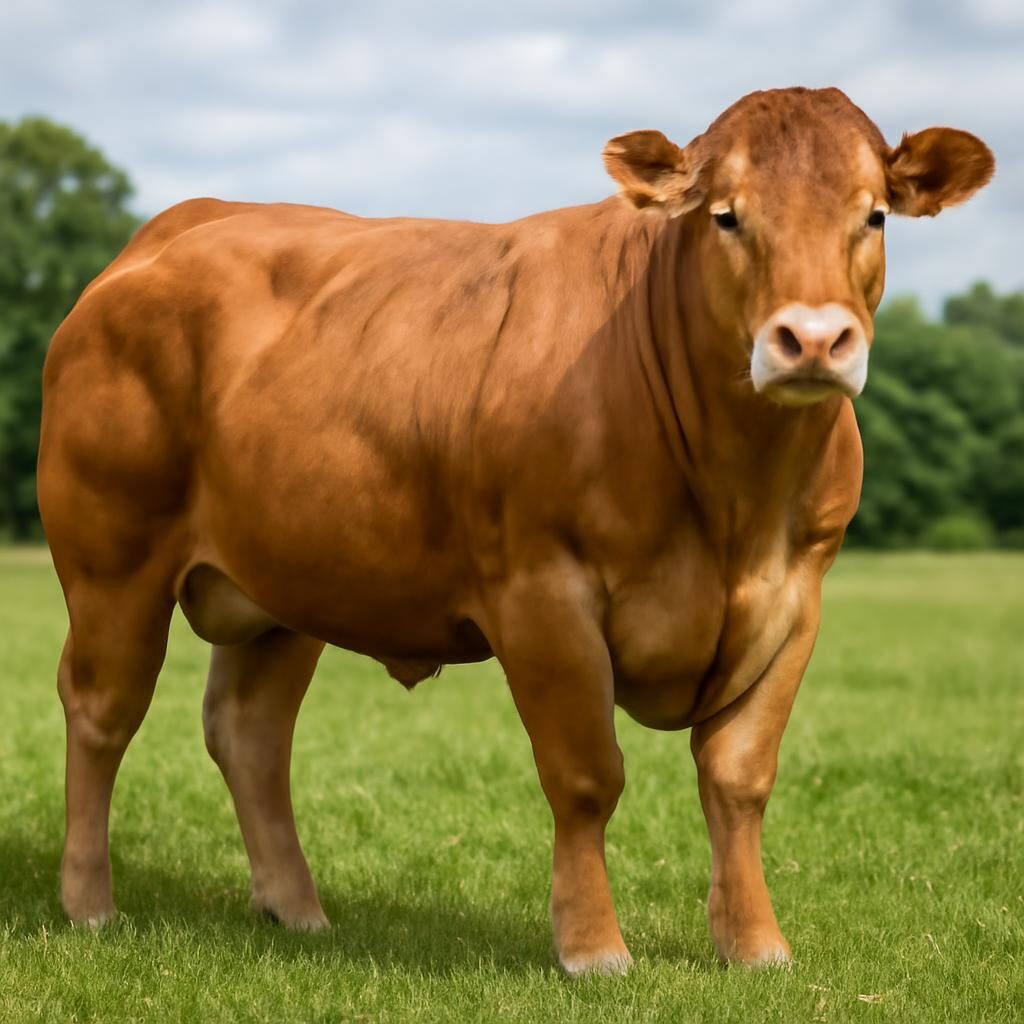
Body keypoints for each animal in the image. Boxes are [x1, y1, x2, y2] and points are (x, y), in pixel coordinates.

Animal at [37, 87, 993, 974]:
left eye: (872, 215)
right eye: (727, 214)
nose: (814, 340)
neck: (734, 507)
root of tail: (173, 228)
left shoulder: (795, 603)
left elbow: (739, 777)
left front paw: (755, 945)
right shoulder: (544, 594)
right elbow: (587, 777)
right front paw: (593, 948)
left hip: (285, 585)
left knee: (249, 732)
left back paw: (296, 909)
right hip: (112, 560)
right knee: (102, 711)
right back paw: (89, 903)